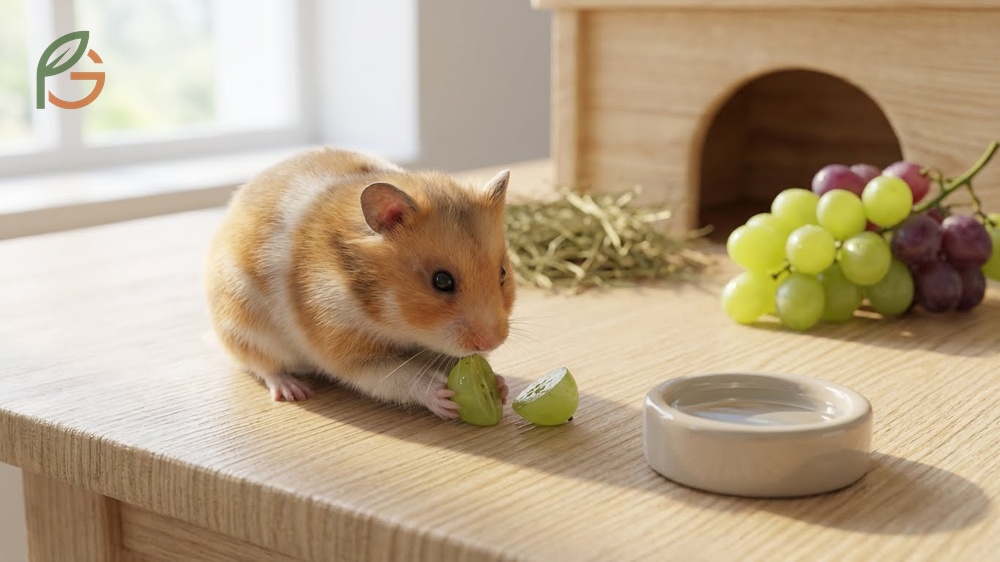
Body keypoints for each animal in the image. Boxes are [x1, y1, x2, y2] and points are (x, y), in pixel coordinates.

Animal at [204, 147, 516, 419]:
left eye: (502, 273)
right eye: (441, 281)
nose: (493, 341)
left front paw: (500, 386)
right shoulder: (347, 349)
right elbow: (399, 378)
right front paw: (443, 397)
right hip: (244, 328)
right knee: (263, 366)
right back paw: (294, 390)